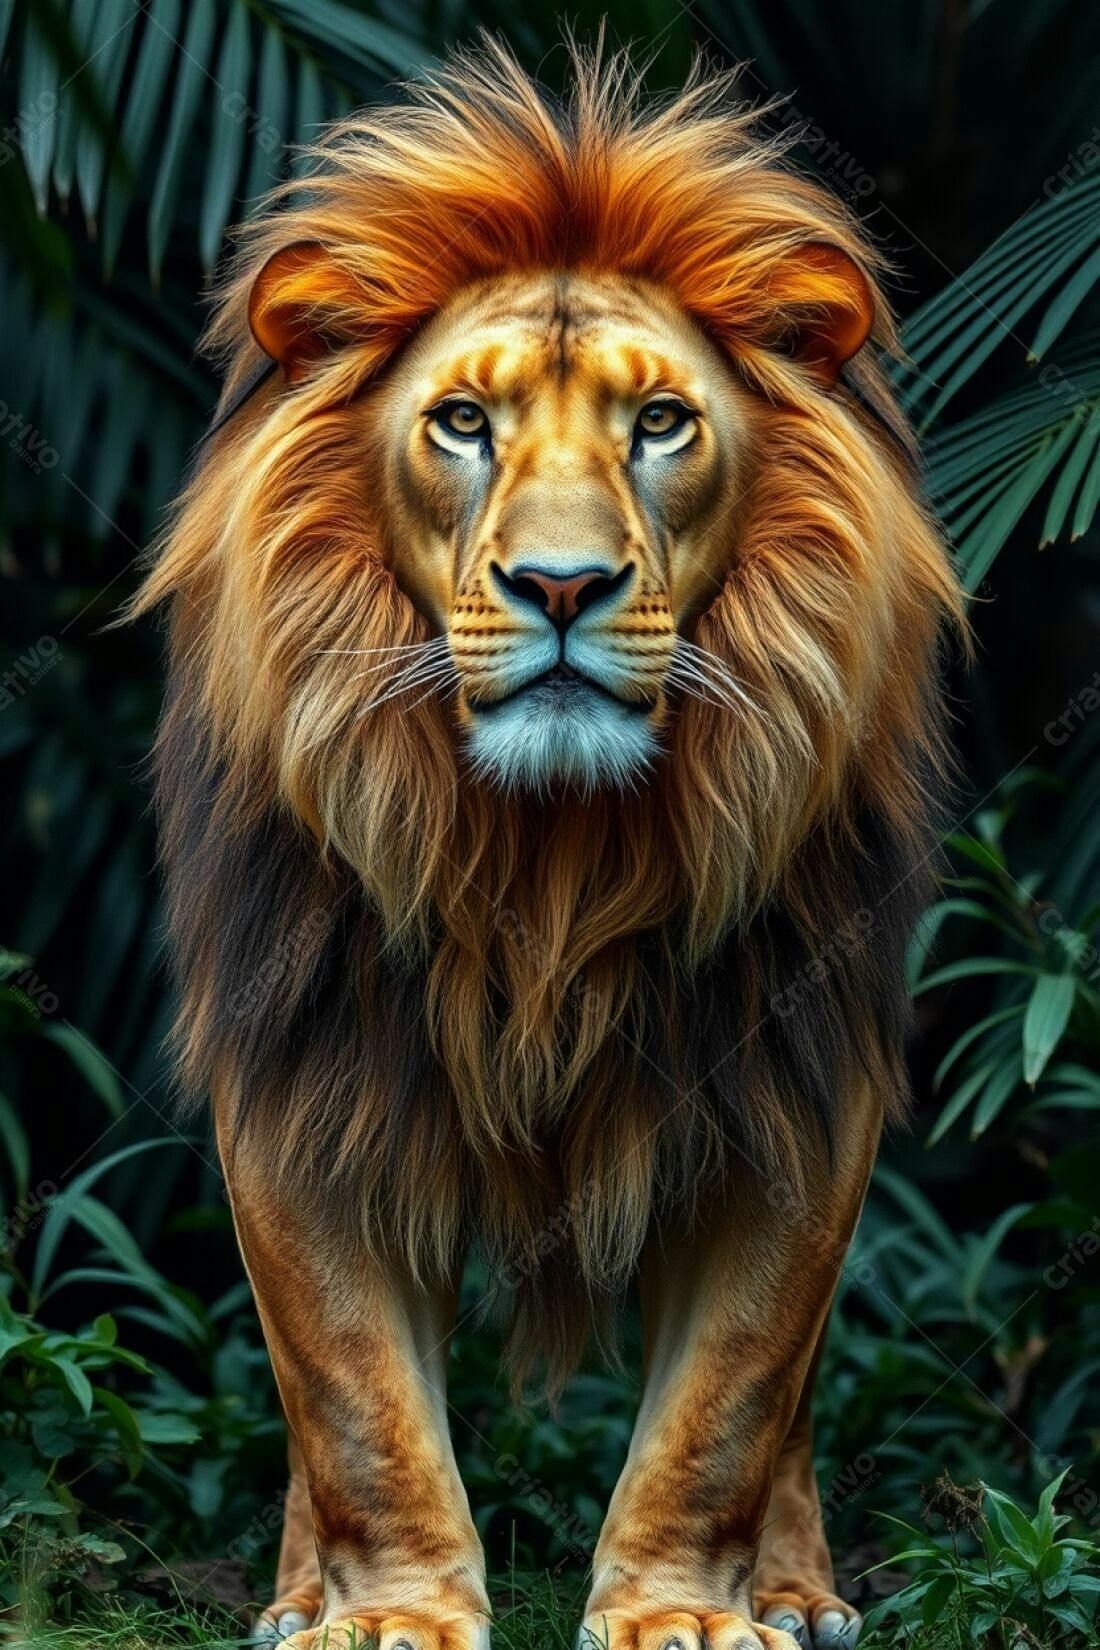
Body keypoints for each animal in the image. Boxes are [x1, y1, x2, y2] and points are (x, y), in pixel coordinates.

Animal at [133, 38, 962, 1650]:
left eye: (661, 424)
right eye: (464, 422)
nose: (562, 585)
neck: (548, 858)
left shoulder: (796, 1084)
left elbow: (730, 1399)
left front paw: (686, 1612)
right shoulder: (298, 1072)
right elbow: (352, 1399)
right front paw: (384, 1612)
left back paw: (798, 1592)